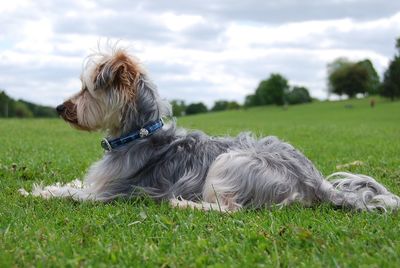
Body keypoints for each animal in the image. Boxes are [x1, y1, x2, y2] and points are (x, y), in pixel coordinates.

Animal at [20, 47, 398, 213]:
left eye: (86, 90)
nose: (58, 108)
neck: (138, 133)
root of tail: (313, 181)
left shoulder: (109, 192)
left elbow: (70, 194)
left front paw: (35, 192)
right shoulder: (98, 184)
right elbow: (71, 184)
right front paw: (44, 186)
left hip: (231, 163)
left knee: (231, 210)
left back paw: (184, 204)